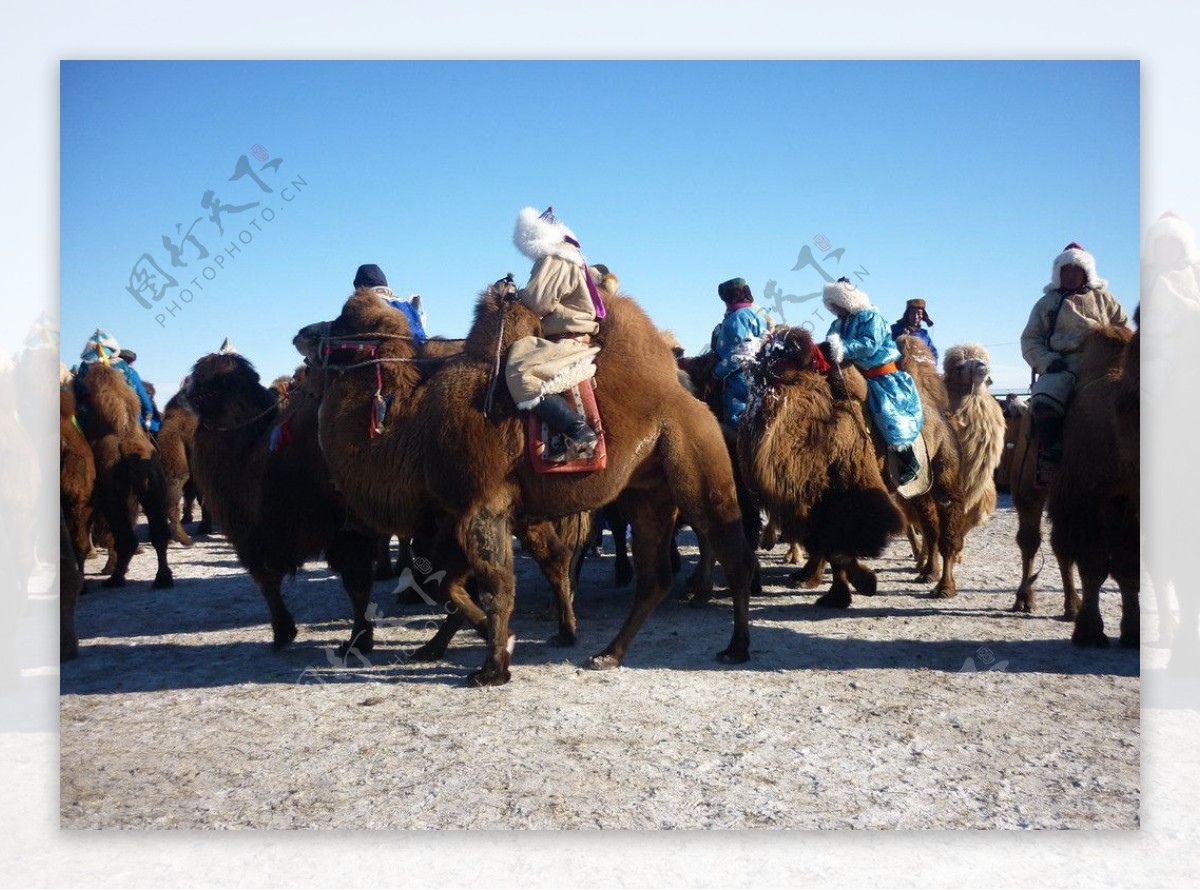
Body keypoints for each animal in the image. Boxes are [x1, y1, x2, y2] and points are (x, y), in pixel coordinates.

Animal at [73, 364, 172, 592]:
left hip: (115, 500)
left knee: (125, 539)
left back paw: (114, 578)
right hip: (153, 492)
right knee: (158, 534)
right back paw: (162, 578)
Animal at [292, 281, 758, 686]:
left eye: (345, 320)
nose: (302, 335)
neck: (411, 424)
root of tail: (687, 394)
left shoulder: (481, 507)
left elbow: (496, 588)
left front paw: (492, 668)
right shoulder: (458, 513)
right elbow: (453, 585)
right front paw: (485, 643)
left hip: (698, 469)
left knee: (732, 555)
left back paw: (735, 647)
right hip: (646, 493)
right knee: (654, 577)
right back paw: (608, 654)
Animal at [734, 323, 902, 609]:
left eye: (778, 350)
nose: (742, 343)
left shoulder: (850, 494)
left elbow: (840, 548)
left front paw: (857, 586)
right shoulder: (808, 502)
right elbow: (828, 548)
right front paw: (832, 589)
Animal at [1046, 323, 1137, 642]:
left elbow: (1128, 565)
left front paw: (1132, 633)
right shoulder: (1087, 498)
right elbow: (1093, 564)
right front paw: (1089, 632)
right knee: (1062, 549)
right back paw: (1071, 608)